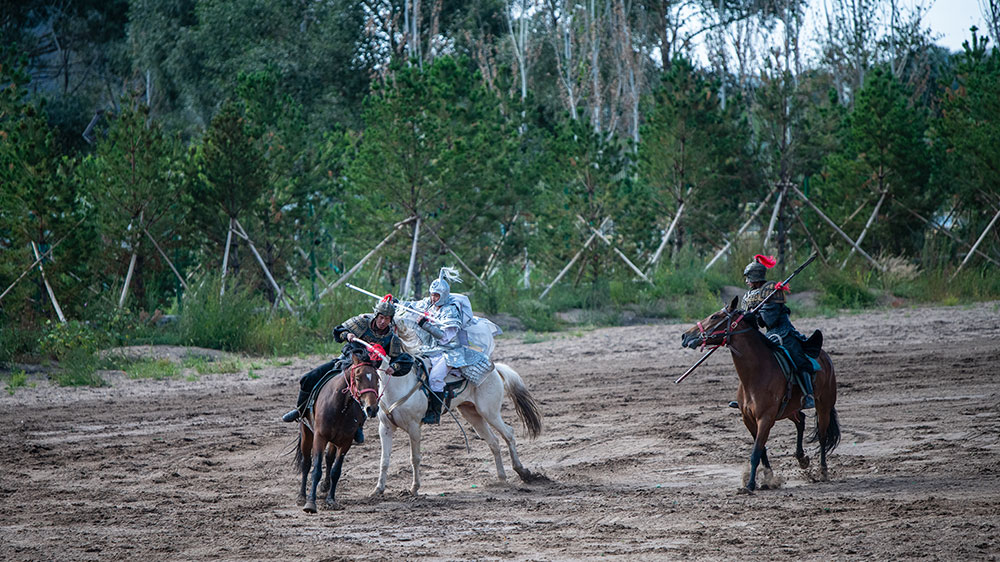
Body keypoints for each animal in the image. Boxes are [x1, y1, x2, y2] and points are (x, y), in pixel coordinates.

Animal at [294, 348, 380, 510]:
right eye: (358, 377)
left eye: (378, 379)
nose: (372, 408)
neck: (340, 407)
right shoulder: (320, 437)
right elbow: (315, 470)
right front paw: (310, 503)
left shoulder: (345, 442)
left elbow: (336, 471)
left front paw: (331, 499)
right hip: (306, 432)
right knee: (306, 463)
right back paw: (301, 496)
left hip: (334, 440)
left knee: (329, 459)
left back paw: (325, 486)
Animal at [368, 310, 540, 494]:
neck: (399, 382)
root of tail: (495, 369)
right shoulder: (385, 428)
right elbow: (384, 460)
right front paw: (378, 489)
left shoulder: (414, 427)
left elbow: (415, 458)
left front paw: (414, 488)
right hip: (472, 414)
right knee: (493, 441)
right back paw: (501, 478)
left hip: (490, 413)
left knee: (509, 434)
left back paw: (522, 472)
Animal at [684, 296, 840, 492]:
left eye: (714, 317)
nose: (685, 336)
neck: (756, 373)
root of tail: (825, 357)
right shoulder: (749, 419)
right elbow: (762, 449)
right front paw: (768, 478)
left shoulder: (765, 418)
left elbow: (756, 451)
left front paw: (751, 484)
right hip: (789, 409)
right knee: (801, 421)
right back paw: (802, 458)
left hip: (824, 405)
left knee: (822, 435)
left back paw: (823, 471)